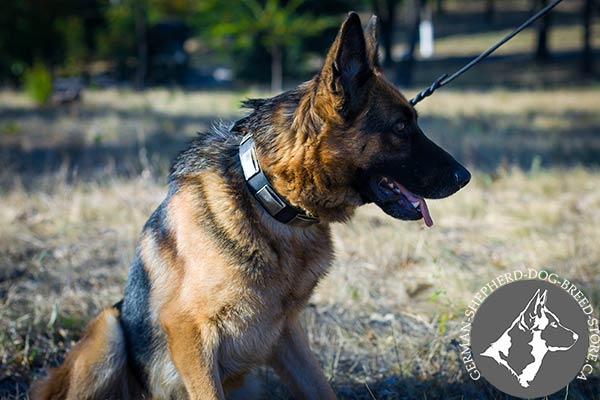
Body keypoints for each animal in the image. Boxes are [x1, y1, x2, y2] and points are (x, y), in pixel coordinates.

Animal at [35, 12, 472, 400]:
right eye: (401, 128)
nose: (465, 176)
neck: (266, 198)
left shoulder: (286, 333)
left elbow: (322, 389)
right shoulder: (188, 334)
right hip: (109, 327)